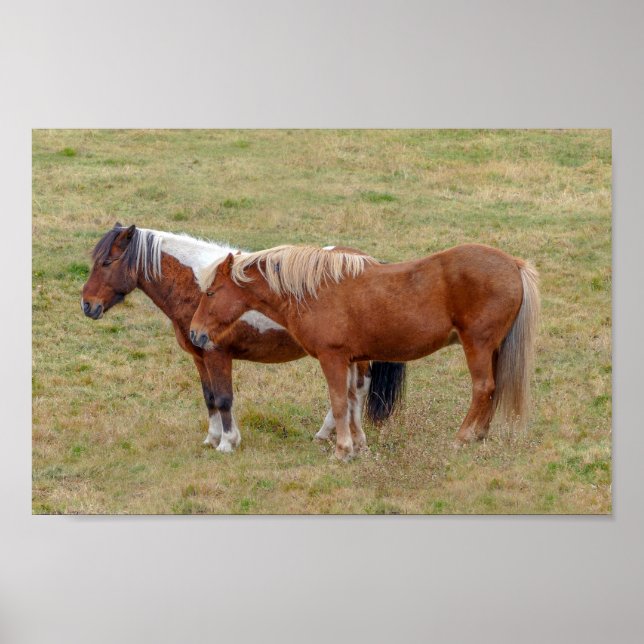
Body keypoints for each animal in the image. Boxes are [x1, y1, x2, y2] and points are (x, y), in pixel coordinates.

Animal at [81, 224, 406, 452]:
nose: (87, 305)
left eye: (107, 263)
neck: (198, 285)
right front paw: (212, 438)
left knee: (357, 391)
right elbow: (210, 397)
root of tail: (371, 263)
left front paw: (228, 442)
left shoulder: (217, 354)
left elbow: (224, 398)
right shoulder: (200, 357)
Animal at [190, 244, 540, 460]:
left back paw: (463, 437)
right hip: (494, 350)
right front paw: (359, 445)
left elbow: (339, 402)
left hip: (477, 346)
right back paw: (480, 435)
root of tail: (513, 264)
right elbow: (353, 400)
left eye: (211, 292)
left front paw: (342, 450)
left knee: (483, 388)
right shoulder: (352, 359)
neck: (314, 290)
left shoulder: (332, 358)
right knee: (494, 389)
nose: (195, 333)